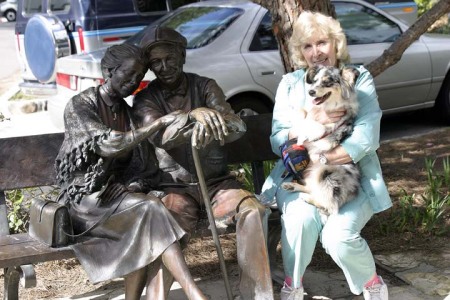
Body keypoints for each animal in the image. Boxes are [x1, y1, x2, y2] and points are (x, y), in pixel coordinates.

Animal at [284, 66, 362, 216]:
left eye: (327, 82)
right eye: (314, 81)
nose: (311, 92)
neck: (326, 107)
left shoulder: (335, 127)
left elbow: (321, 128)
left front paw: (306, 136)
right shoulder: (306, 113)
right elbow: (302, 113)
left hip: (326, 173)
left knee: (330, 206)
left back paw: (306, 197)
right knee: (312, 189)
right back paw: (292, 186)